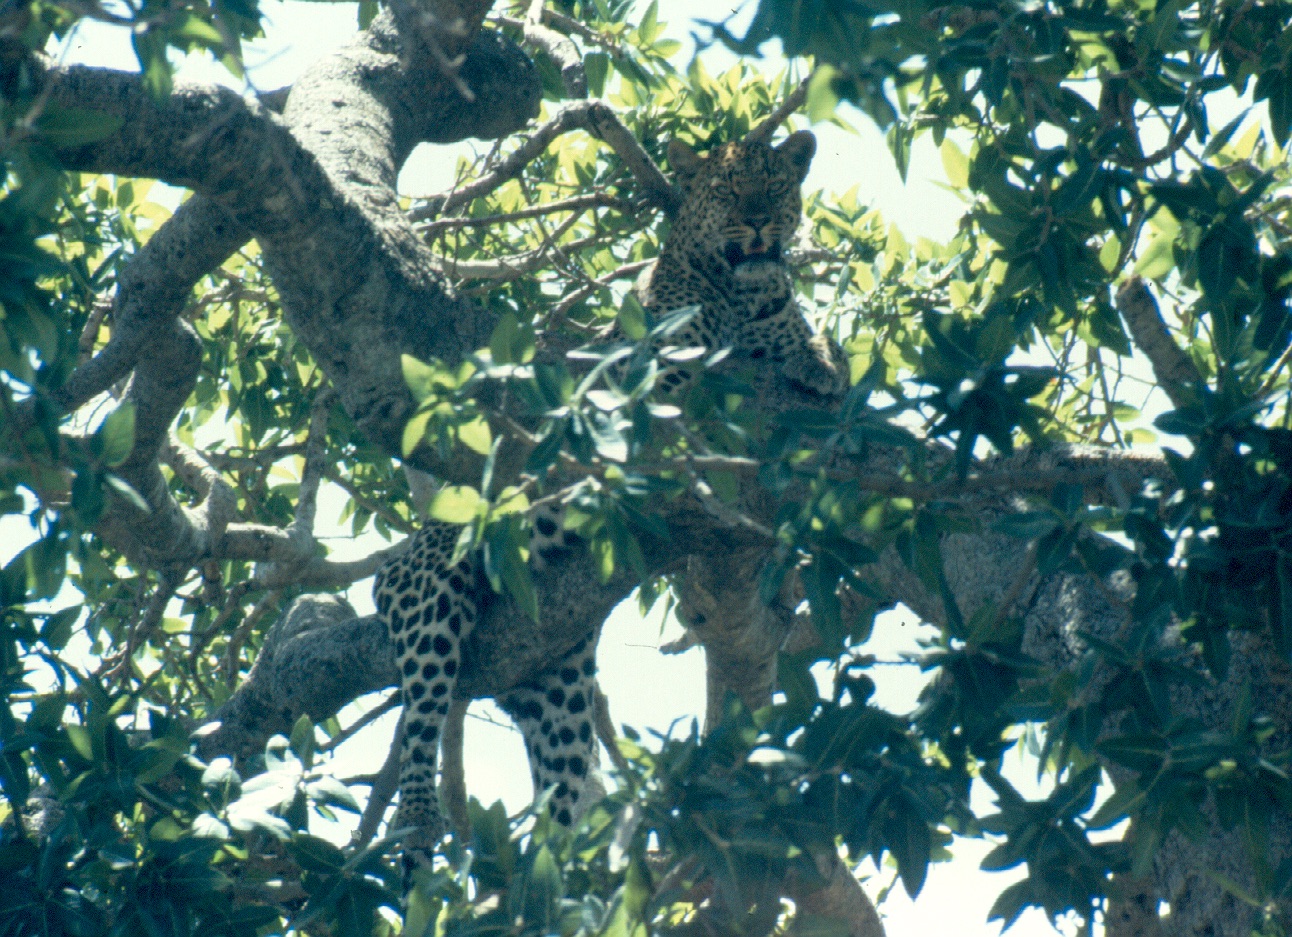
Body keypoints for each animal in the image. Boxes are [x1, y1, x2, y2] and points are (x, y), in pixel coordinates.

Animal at [375, 129, 849, 879]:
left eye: (774, 185)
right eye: (728, 189)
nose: (757, 222)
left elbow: (801, 336)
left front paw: (820, 360)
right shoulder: (644, 365)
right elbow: (677, 358)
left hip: (558, 688)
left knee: (560, 795)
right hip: (430, 594)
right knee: (420, 712)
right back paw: (419, 817)